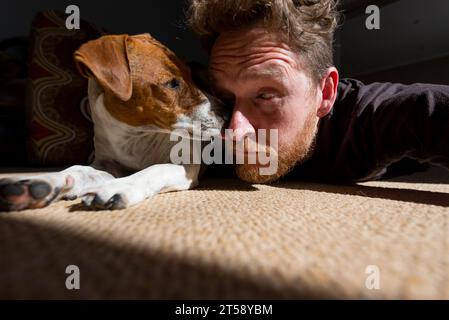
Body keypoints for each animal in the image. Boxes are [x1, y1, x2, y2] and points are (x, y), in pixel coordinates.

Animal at [0, 33, 226, 211]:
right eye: (172, 83)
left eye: (192, 78)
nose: (226, 113)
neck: (135, 135)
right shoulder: (107, 163)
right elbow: (79, 169)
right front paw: (41, 182)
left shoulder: (186, 164)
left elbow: (155, 169)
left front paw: (119, 187)